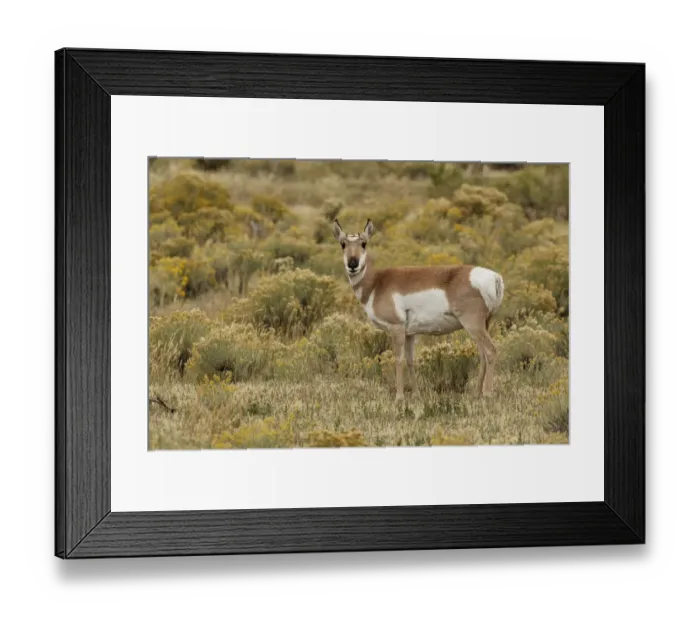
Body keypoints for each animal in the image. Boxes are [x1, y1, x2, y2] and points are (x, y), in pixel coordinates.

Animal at [333, 219, 504, 401]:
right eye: (343, 244)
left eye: (363, 243)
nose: (352, 264)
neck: (376, 283)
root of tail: (494, 277)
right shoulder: (410, 334)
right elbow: (410, 360)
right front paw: (416, 394)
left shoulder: (397, 329)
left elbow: (398, 359)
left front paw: (399, 397)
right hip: (482, 326)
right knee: (483, 355)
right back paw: (475, 394)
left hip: (473, 325)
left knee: (491, 351)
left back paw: (487, 394)